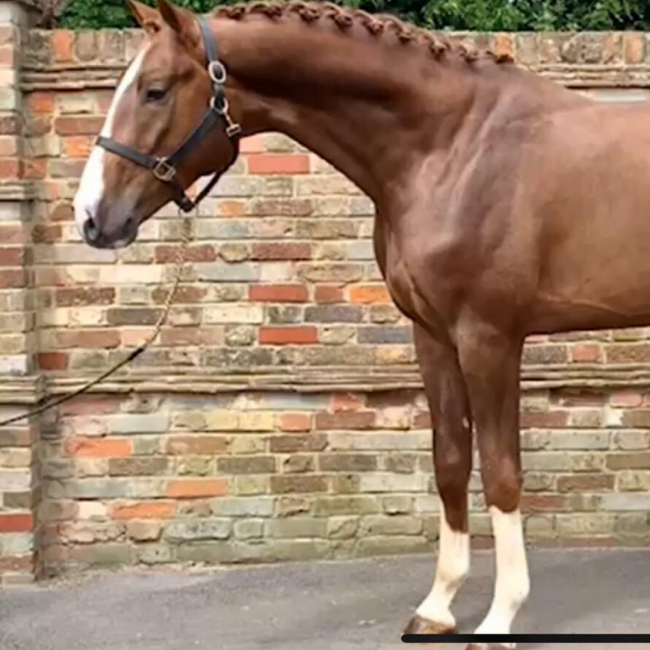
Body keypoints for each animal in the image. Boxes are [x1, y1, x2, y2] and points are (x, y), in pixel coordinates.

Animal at [73, 0, 650, 647]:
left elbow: (502, 472)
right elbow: (451, 461)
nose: (91, 216)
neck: (452, 148)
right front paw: (438, 608)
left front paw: (499, 617)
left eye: (154, 90)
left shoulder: (490, 337)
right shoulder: (433, 334)